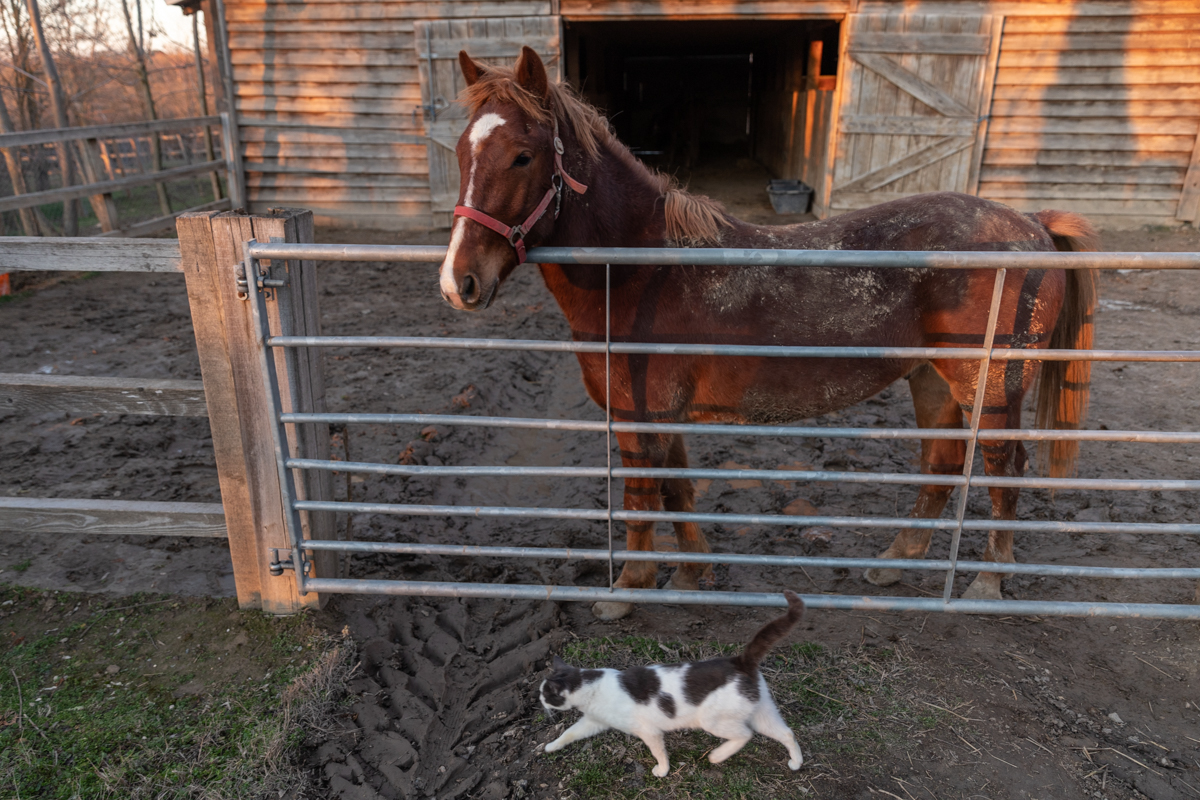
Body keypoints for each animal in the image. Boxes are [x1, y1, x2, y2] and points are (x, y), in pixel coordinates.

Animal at [439, 47, 1098, 621]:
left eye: (523, 156)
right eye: (462, 154)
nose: (458, 282)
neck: (640, 269)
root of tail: (1032, 222)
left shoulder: (640, 416)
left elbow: (642, 498)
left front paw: (628, 588)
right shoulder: (664, 414)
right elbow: (677, 490)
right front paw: (692, 575)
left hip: (992, 390)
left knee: (1004, 471)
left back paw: (987, 582)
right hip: (931, 379)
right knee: (940, 463)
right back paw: (895, 563)